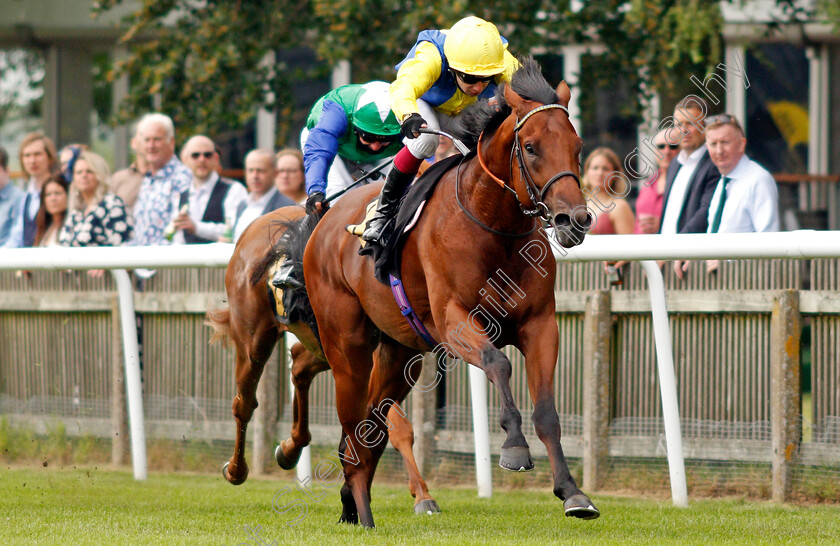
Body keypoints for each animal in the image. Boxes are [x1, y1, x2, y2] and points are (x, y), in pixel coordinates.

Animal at [205, 205, 440, 516]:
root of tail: (254, 226)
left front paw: (417, 493)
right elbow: (395, 426)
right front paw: (421, 495)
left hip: (324, 348)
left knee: (299, 365)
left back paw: (291, 447)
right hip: (253, 340)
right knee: (244, 403)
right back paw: (236, 469)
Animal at [288, 60, 596, 528]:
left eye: (577, 145)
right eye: (530, 147)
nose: (573, 219)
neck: (492, 226)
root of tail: (324, 222)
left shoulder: (540, 325)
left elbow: (547, 411)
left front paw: (572, 492)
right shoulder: (454, 322)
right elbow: (498, 363)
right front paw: (514, 448)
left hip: (398, 355)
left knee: (372, 424)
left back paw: (354, 504)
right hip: (347, 349)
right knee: (352, 424)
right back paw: (363, 510)